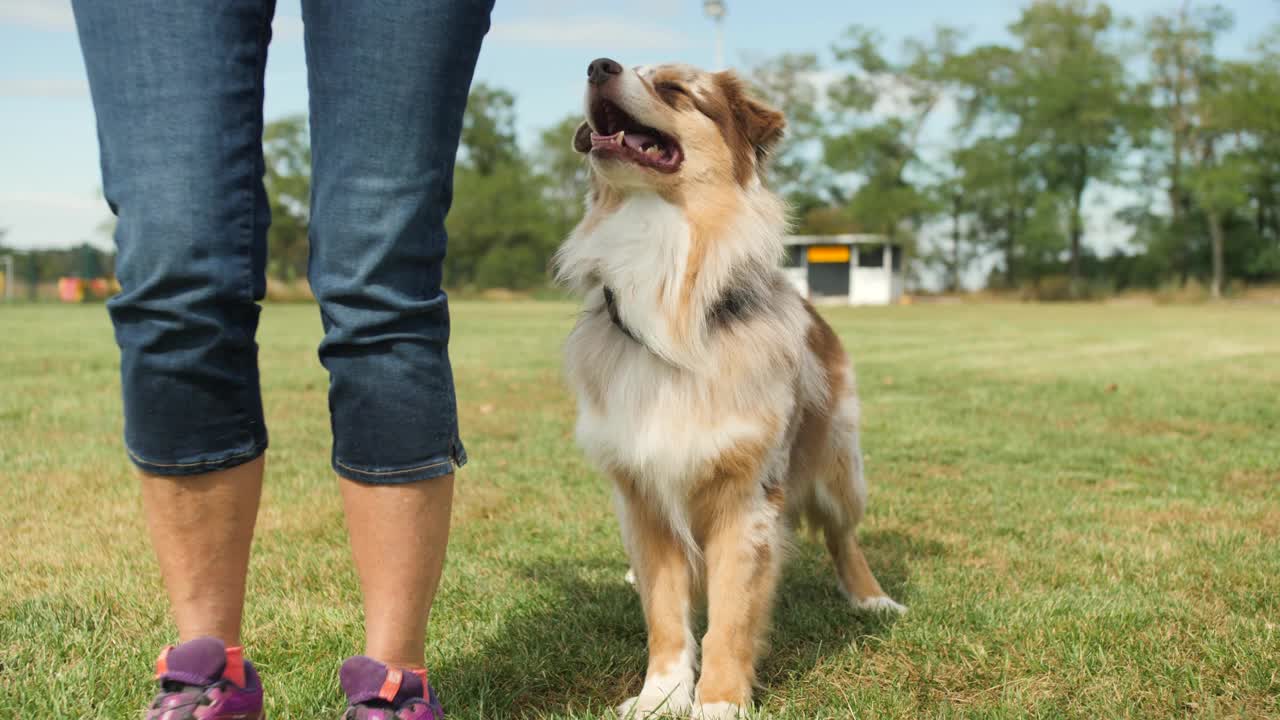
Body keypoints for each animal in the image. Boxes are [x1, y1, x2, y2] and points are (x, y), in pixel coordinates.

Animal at [555, 58, 906, 712]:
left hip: (840, 464)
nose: (597, 65)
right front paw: (661, 696)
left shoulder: (747, 497)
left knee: (844, 536)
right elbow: (666, 614)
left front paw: (718, 701)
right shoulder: (641, 492)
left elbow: (732, 616)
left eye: (674, 89)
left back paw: (872, 599)